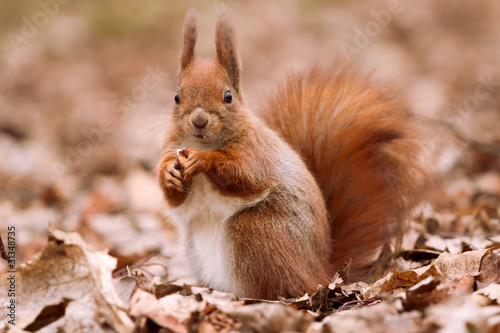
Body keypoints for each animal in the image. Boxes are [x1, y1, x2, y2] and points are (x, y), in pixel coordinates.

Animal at [158, 11, 428, 300]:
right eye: (176, 97)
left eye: (228, 96)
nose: (199, 120)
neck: (206, 144)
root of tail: (321, 272)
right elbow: (174, 199)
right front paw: (168, 174)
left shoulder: (256, 152)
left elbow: (243, 174)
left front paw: (203, 161)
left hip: (256, 231)